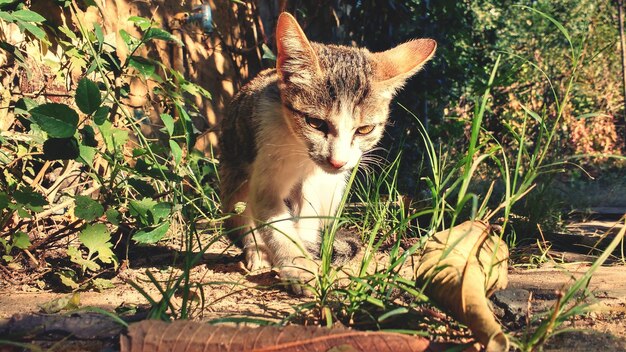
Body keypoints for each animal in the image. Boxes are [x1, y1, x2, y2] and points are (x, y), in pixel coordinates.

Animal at [219, 12, 434, 294]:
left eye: (364, 129)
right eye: (315, 123)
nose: (337, 161)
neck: (302, 157)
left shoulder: (320, 182)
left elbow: (307, 219)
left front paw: (307, 255)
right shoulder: (266, 165)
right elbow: (275, 223)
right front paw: (298, 266)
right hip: (233, 178)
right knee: (241, 212)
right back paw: (256, 251)